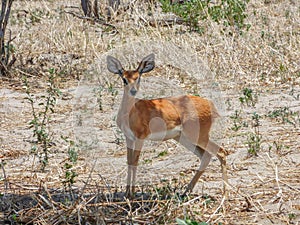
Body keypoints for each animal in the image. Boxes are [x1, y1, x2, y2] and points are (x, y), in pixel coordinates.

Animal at [106, 53, 229, 198]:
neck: (131, 111)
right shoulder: (129, 137)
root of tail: (209, 104)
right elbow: (129, 161)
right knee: (206, 156)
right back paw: (185, 192)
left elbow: (135, 161)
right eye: (124, 79)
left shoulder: (140, 137)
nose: (133, 91)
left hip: (197, 136)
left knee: (221, 152)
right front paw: (126, 194)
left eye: (138, 78)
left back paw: (225, 194)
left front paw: (132, 194)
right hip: (183, 138)